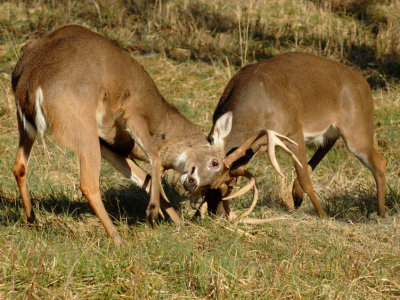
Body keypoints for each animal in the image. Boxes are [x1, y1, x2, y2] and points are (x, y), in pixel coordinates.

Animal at [11, 24, 244, 245]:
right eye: (215, 163)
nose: (193, 189)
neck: (163, 120)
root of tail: (30, 80)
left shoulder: (107, 143)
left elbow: (142, 177)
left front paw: (178, 223)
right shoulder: (131, 113)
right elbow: (154, 159)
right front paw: (152, 213)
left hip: (32, 127)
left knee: (19, 166)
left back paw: (32, 220)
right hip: (81, 125)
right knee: (88, 184)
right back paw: (117, 238)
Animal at [198, 51, 386, 223]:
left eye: (228, 184)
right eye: (202, 185)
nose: (213, 213)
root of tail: (364, 84)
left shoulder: (293, 130)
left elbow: (304, 178)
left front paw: (323, 215)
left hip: (357, 127)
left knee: (379, 162)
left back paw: (381, 213)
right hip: (335, 130)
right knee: (328, 145)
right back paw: (297, 196)